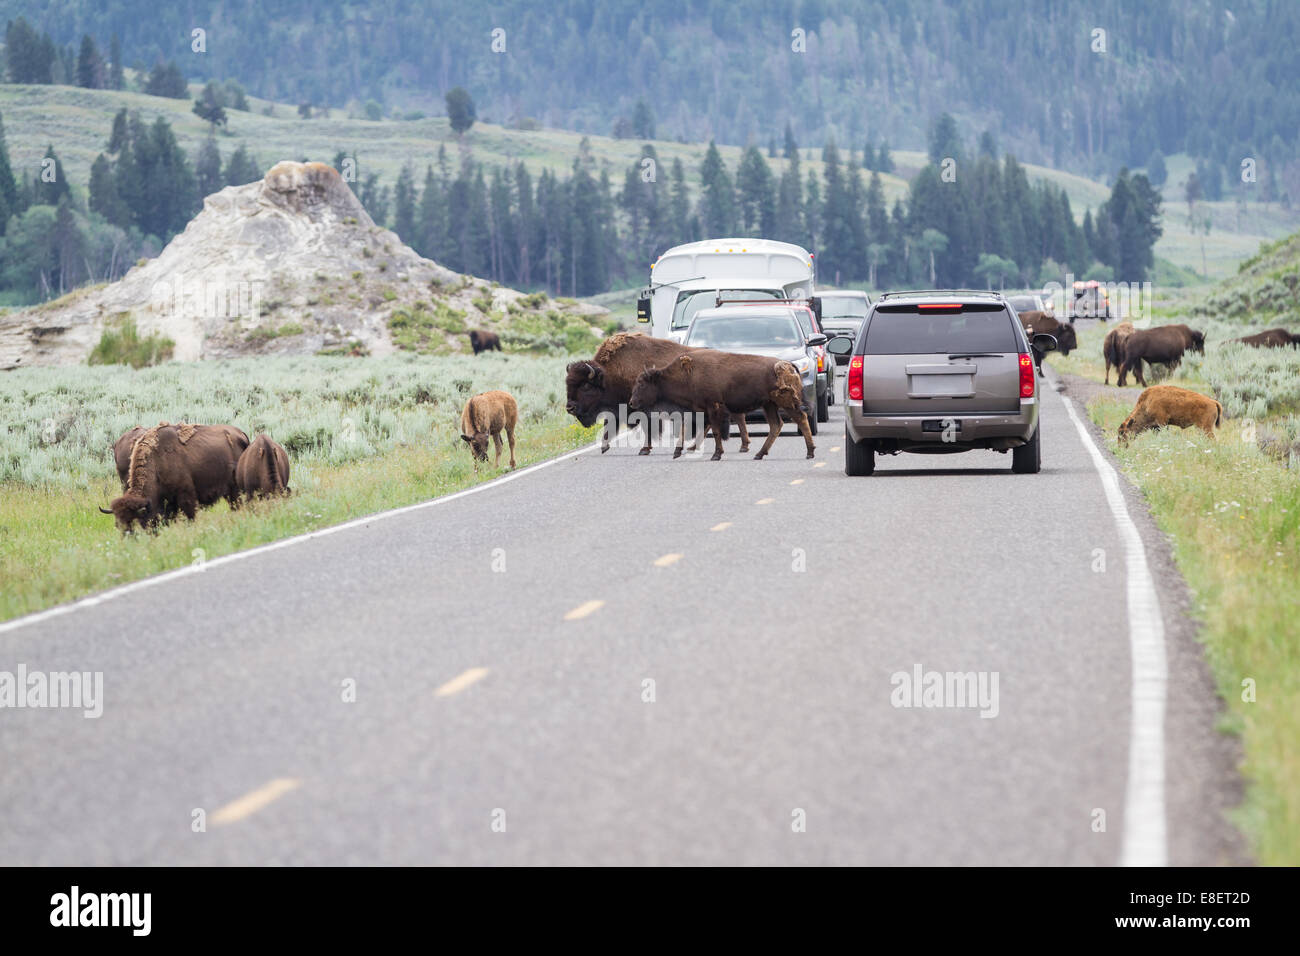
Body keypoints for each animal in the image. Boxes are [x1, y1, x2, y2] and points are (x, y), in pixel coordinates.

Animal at [100, 424, 248, 535]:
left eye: (134, 521)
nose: (128, 539)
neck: (157, 462)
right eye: (117, 524)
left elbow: (190, 516)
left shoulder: (186, 497)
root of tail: (240, 434)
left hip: (234, 490)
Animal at [561, 332, 754, 455]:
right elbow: (609, 426)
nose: (569, 408)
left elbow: (648, 429)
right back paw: (695, 447)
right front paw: (604, 447)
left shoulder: (642, 408)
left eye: (585, 385)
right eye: (568, 383)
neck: (610, 374)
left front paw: (644, 449)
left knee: (737, 417)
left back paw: (743, 446)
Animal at [629, 351, 811, 463]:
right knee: (776, 425)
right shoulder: (698, 410)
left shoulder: (712, 408)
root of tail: (788, 365)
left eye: (642, 383)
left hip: (785, 403)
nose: (631, 402)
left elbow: (715, 431)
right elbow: (688, 429)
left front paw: (716, 455)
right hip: (769, 405)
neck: (688, 374)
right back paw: (759, 454)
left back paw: (810, 452)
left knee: (800, 419)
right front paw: (677, 452)